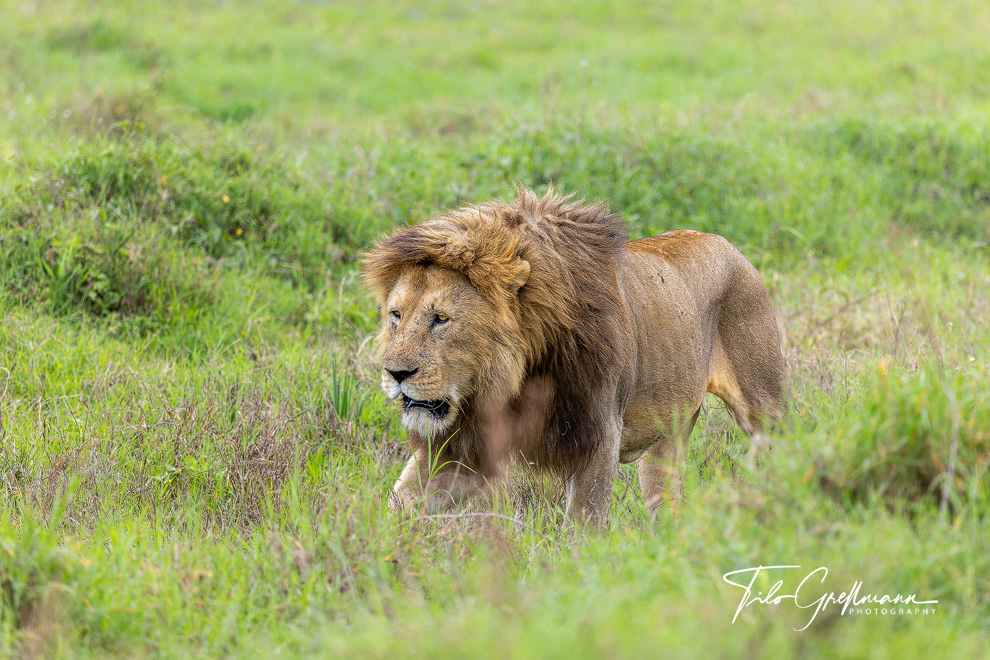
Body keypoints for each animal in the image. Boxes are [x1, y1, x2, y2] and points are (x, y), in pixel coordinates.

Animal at [363, 187, 786, 523]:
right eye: (396, 315)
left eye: (441, 319)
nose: (395, 373)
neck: (516, 377)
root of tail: (725, 243)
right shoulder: (457, 441)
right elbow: (402, 500)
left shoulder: (598, 434)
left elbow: (583, 524)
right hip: (669, 433)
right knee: (666, 500)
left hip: (764, 405)